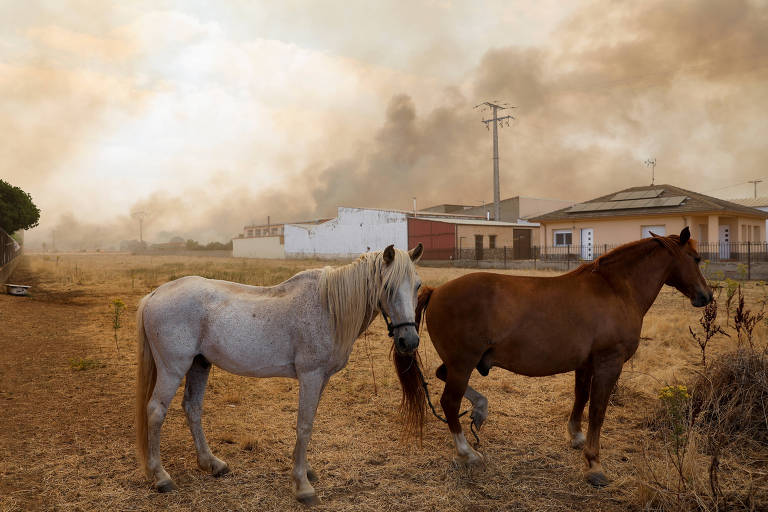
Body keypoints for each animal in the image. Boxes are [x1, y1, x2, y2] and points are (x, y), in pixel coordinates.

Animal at [135, 244, 424, 504]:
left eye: (418, 286)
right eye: (387, 287)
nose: (409, 341)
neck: (327, 308)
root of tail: (155, 294)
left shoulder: (322, 378)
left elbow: (309, 422)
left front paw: (304, 470)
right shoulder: (311, 375)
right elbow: (304, 425)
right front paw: (302, 486)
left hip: (199, 364)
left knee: (192, 408)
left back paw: (212, 464)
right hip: (173, 368)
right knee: (156, 411)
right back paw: (161, 477)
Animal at [396, 226, 712, 486]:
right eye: (696, 258)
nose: (706, 296)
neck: (615, 289)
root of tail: (436, 291)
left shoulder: (586, 363)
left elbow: (581, 398)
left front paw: (576, 436)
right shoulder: (609, 362)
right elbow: (598, 410)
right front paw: (594, 464)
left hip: (460, 363)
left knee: (442, 376)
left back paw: (480, 410)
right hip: (463, 364)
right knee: (449, 402)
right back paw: (467, 452)